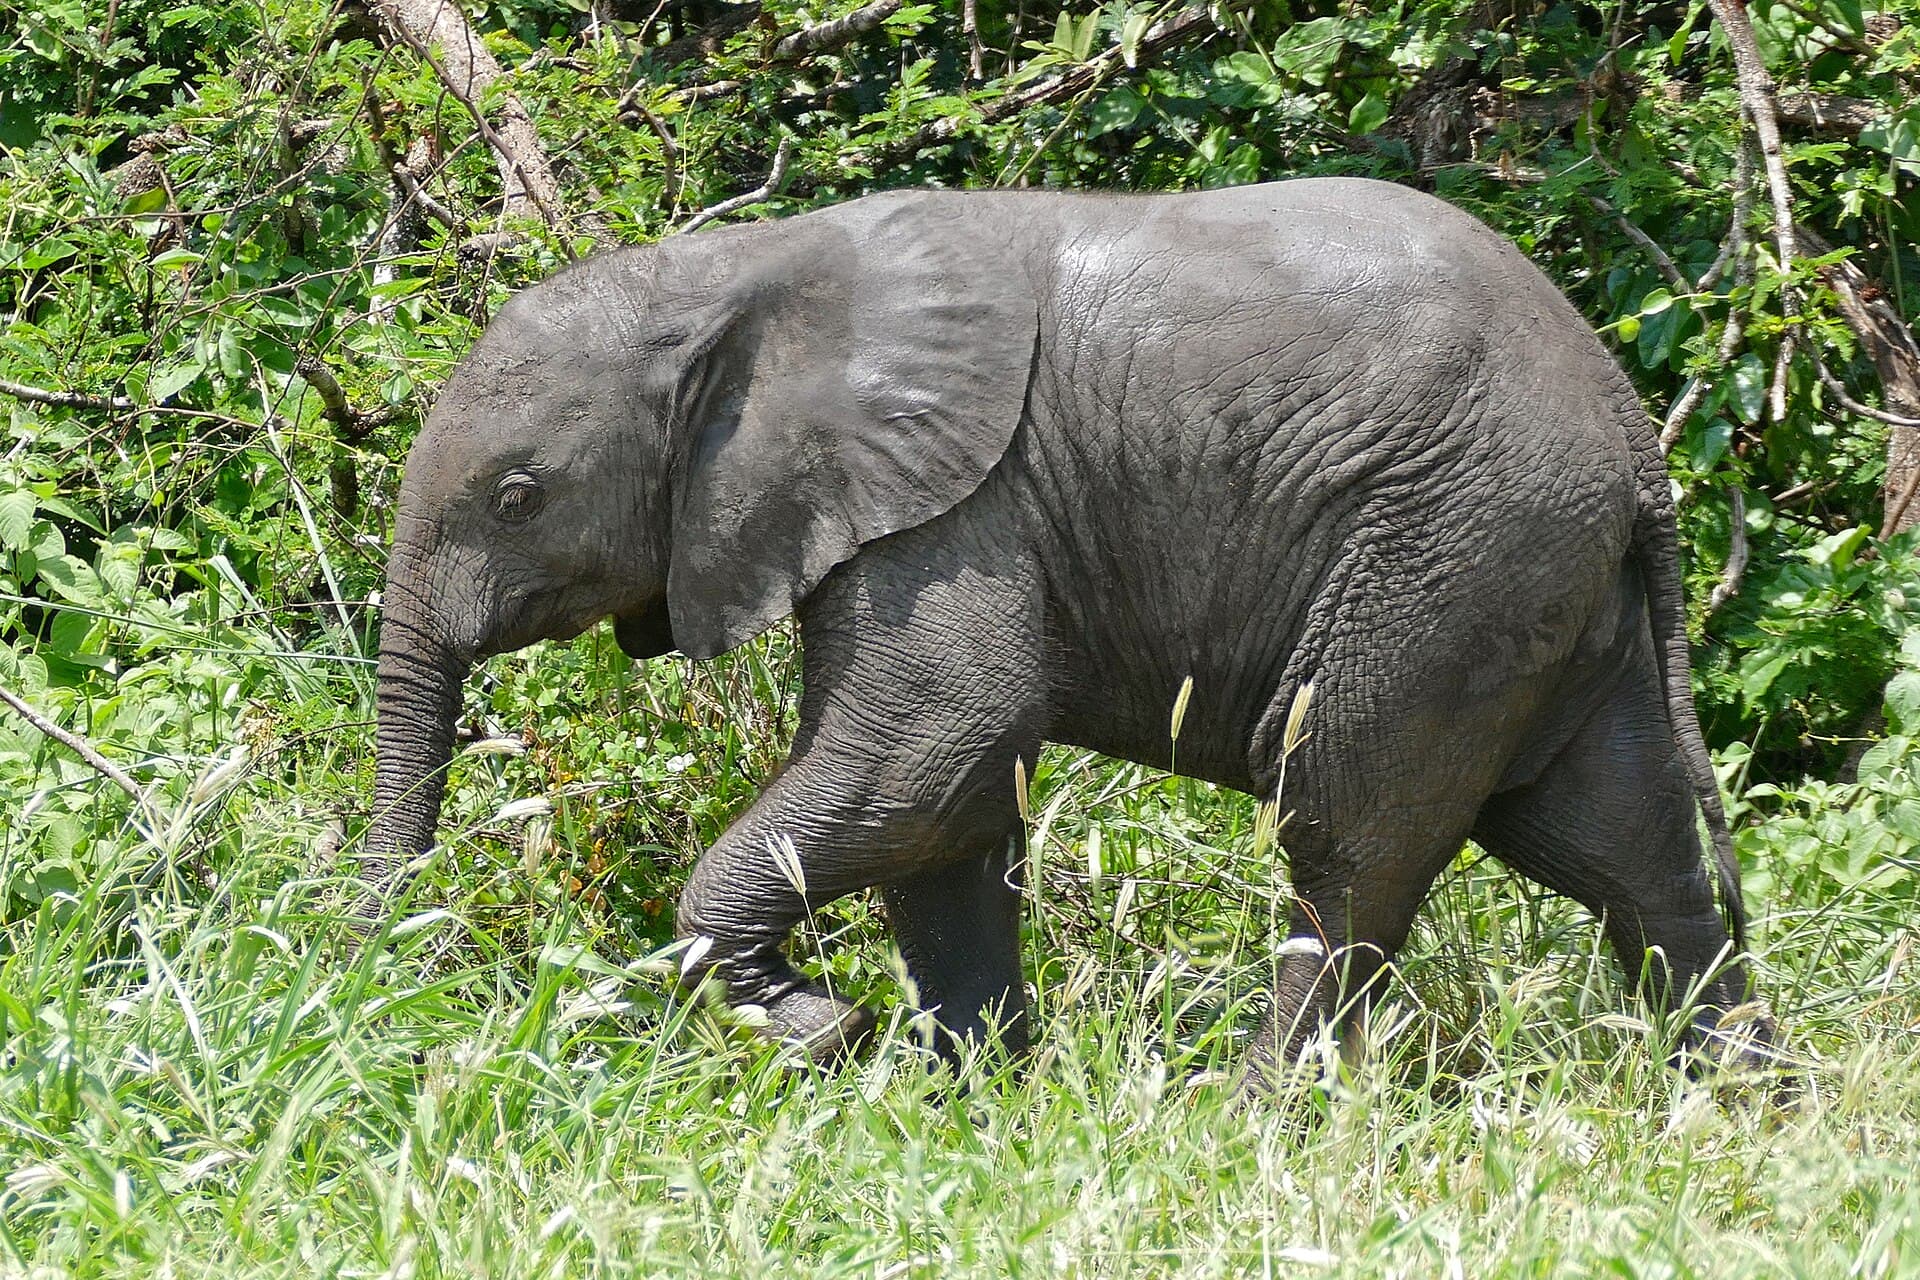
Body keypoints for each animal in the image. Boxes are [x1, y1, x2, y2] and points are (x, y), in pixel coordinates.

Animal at [365, 177, 1772, 1089]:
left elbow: (940, 740)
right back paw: (1735, 1111)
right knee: (1630, 850)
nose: (393, 994)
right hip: (1539, 579)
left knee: (1344, 839)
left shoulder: (955, 506)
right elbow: (949, 816)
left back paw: (1247, 1118)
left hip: (1450, 553)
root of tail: (1632, 431)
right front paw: (972, 1097)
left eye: (518, 498)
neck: (733, 274)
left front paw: (825, 1032)